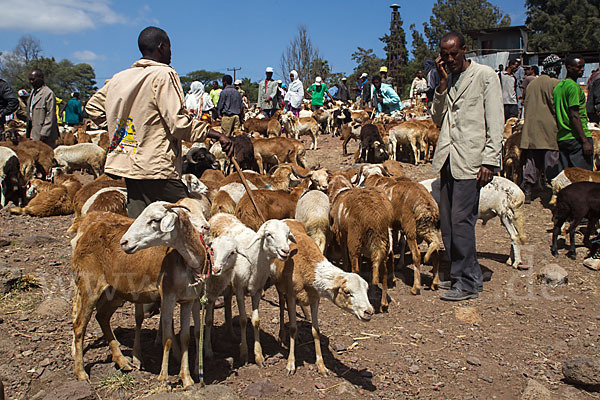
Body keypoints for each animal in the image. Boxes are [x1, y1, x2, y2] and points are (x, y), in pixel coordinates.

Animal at [209, 214, 298, 368]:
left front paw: (258, 355)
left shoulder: (257, 290)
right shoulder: (239, 289)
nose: (285, 251)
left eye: (287, 235)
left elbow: (256, 321)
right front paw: (244, 354)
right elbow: (244, 320)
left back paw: (231, 334)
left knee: (227, 300)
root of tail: (219, 215)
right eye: (269, 235)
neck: (254, 260)